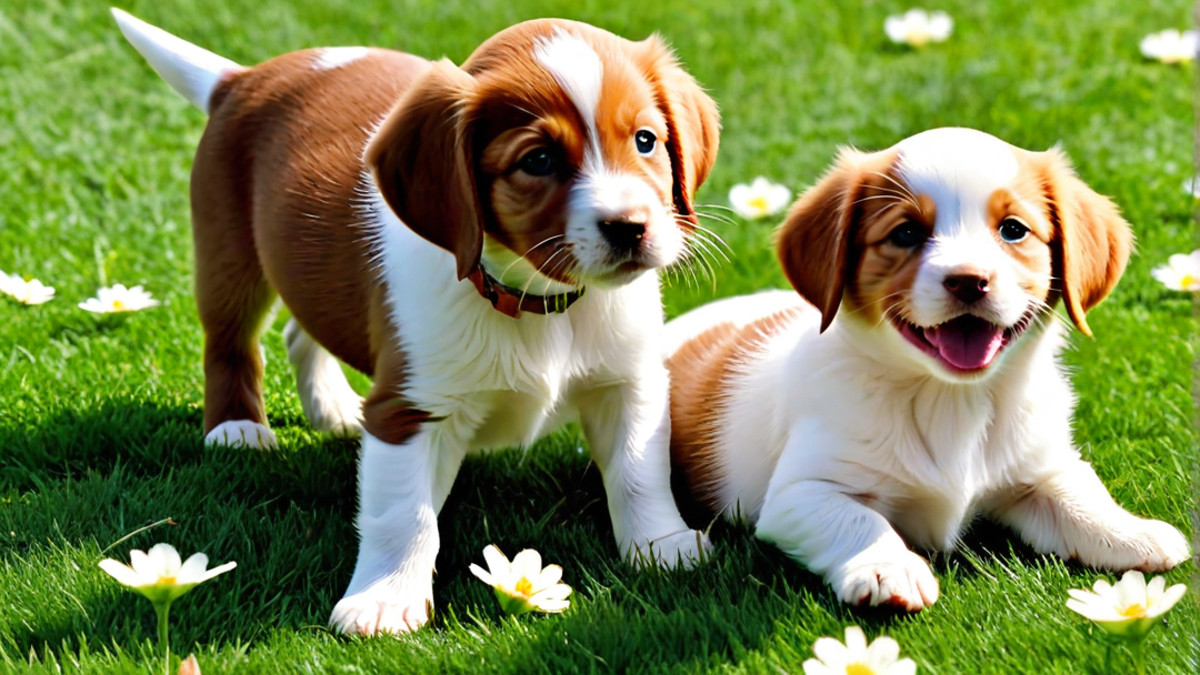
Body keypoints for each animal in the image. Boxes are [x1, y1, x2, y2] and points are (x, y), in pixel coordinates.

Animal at [112, 7, 715, 634]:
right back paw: (236, 429)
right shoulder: (408, 409)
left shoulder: (631, 382)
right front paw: (385, 599)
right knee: (231, 340)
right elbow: (405, 514)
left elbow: (640, 472)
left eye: (646, 141)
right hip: (228, 250)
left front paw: (662, 547)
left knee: (302, 327)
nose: (629, 227)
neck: (540, 302)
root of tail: (244, 78)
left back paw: (332, 408)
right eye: (539, 160)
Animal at [667, 126, 1190, 610]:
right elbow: (858, 520)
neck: (952, 399)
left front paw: (1130, 532)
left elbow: (1078, 493)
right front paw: (886, 566)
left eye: (1013, 230)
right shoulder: (801, 492)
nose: (968, 281)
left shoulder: (1038, 468)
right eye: (905, 233)